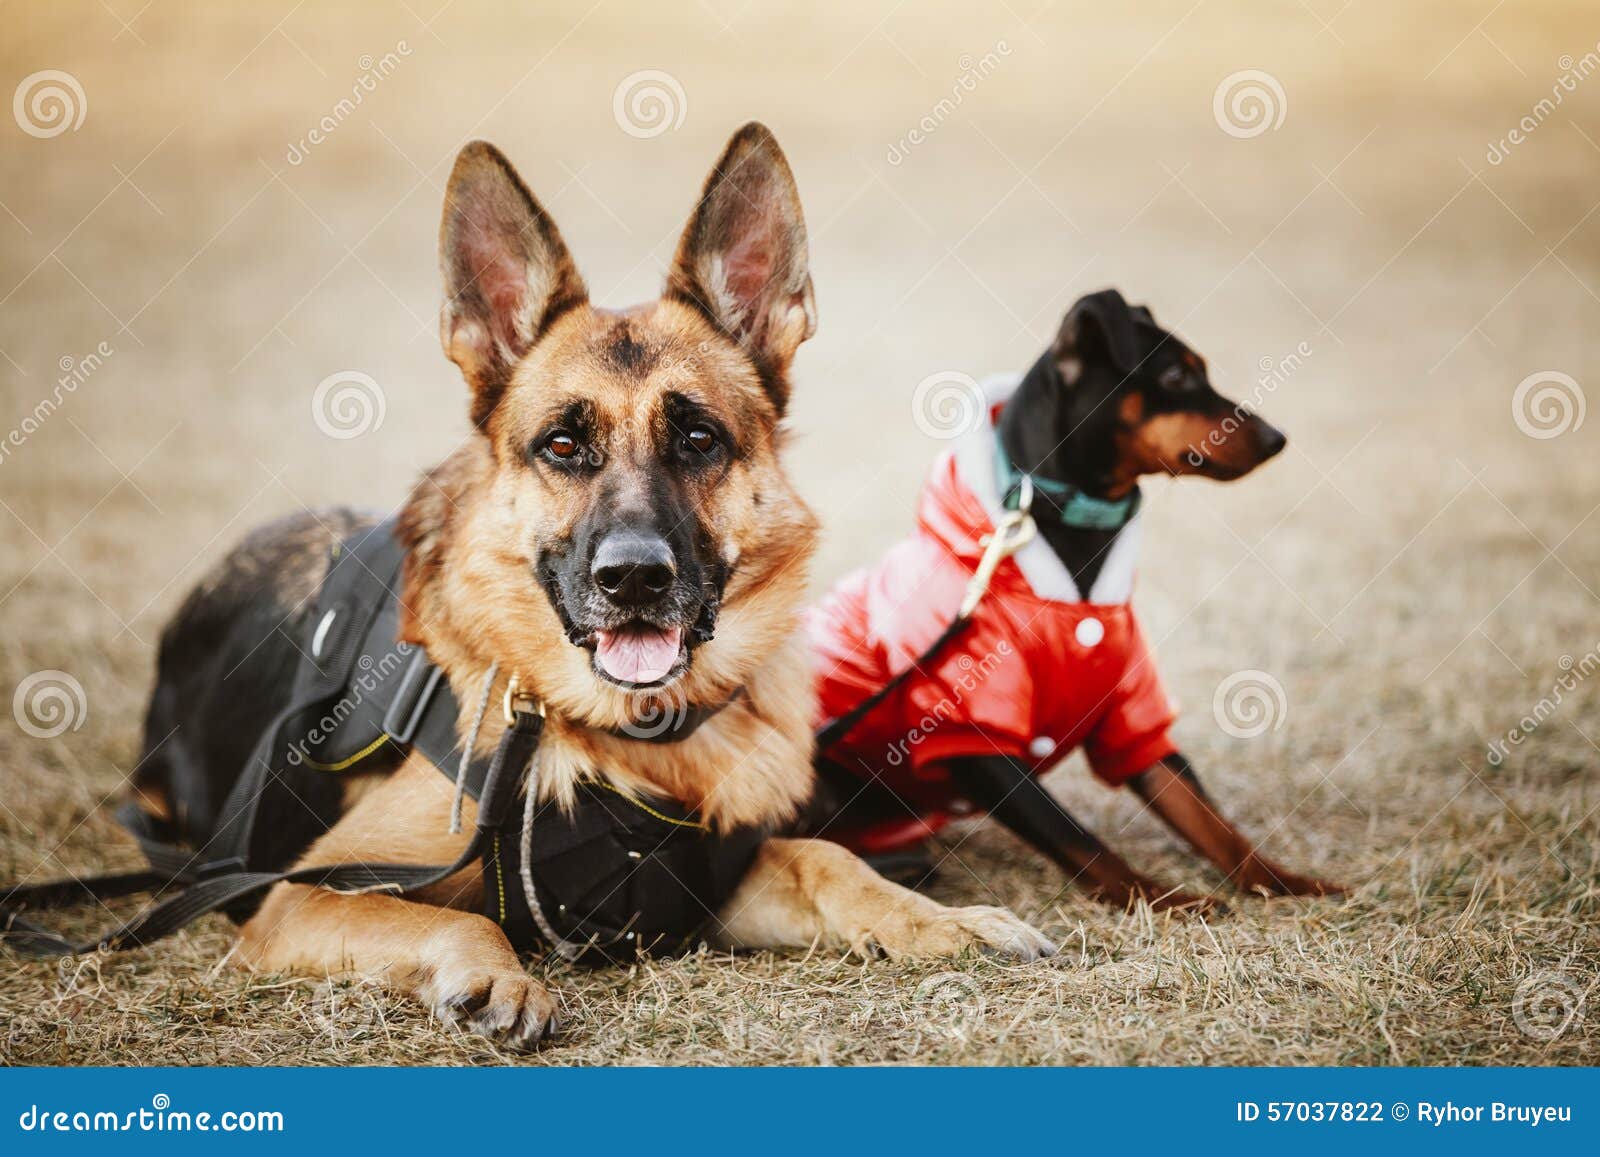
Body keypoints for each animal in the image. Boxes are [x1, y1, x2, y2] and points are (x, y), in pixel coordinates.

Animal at [131, 124, 1056, 1049]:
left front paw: (945, 919)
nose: (634, 577)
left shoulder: (704, 885)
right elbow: (468, 915)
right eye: (563, 445)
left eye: (698, 437)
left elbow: (829, 858)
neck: (633, 739)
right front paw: (500, 976)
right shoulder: (295, 896)